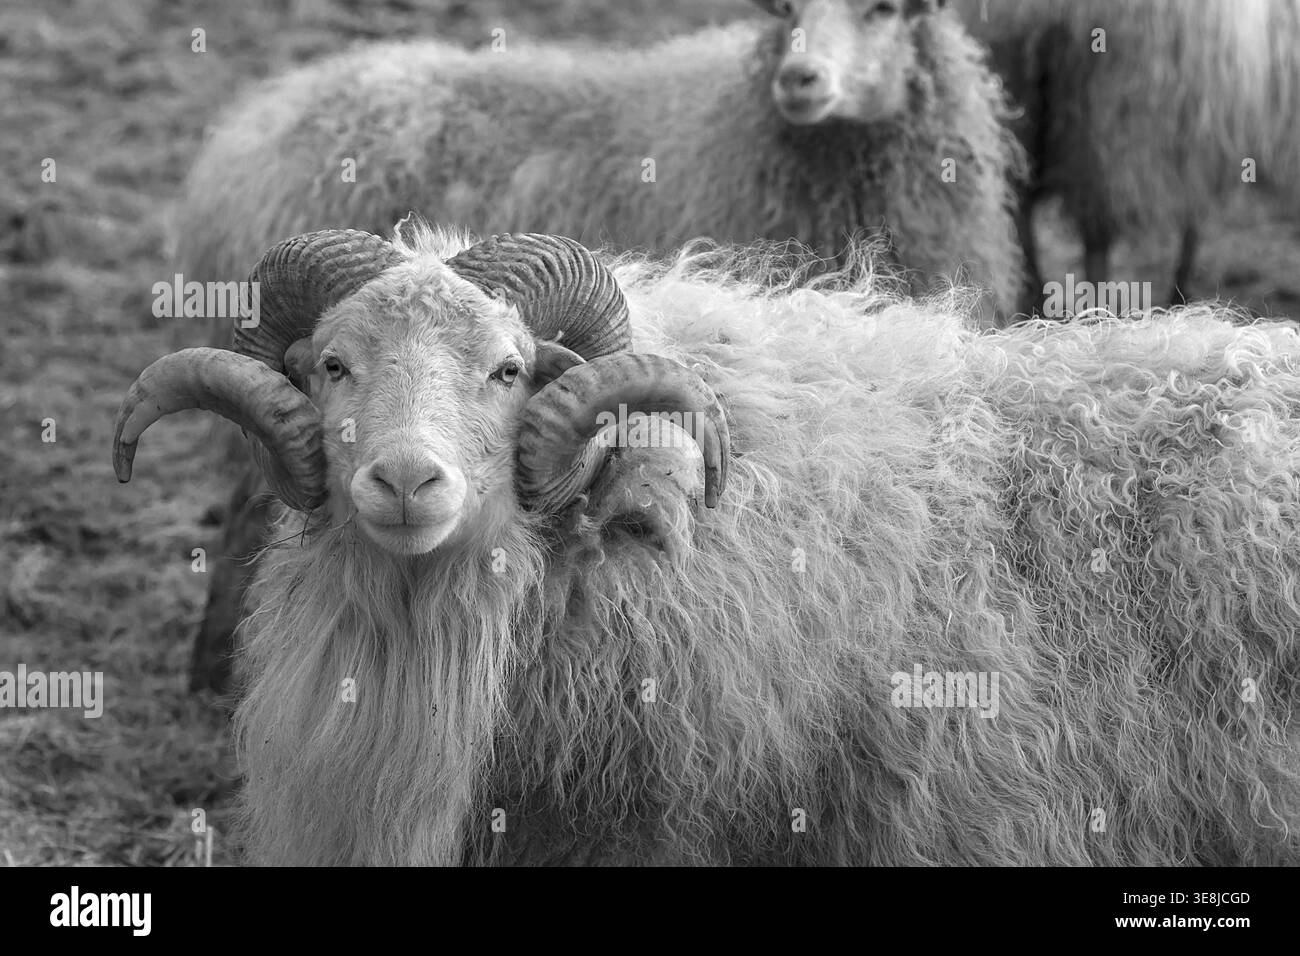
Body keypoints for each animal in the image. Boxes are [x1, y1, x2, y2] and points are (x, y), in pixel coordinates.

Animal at [956, 0, 1300, 309]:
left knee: (1016, 205)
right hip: (1112, 113)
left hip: (1016, 95)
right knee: (1095, 231)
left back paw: (1035, 299)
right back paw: (1096, 306)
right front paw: (1179, 291)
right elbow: (1192, 216)